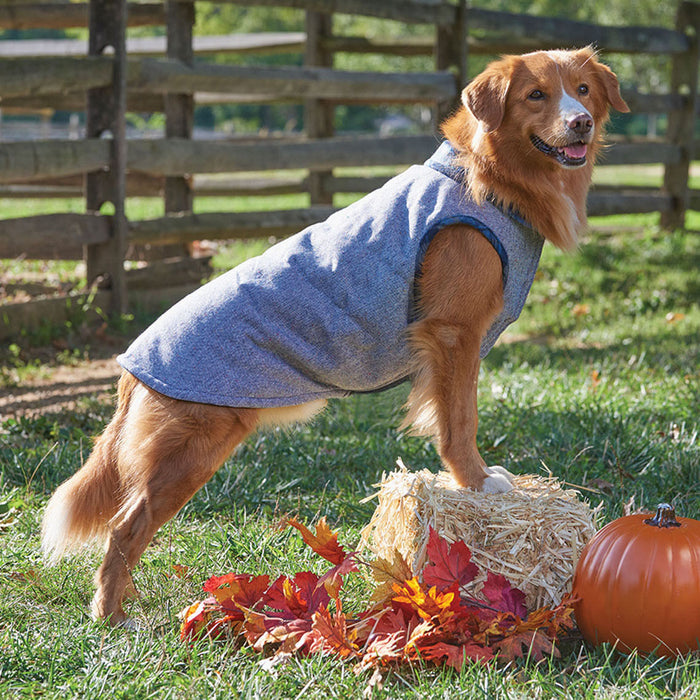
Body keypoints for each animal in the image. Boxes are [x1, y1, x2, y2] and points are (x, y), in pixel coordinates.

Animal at [41, 47, 628, 624]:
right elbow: (460, 422)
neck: (485, 177)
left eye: (582, 91)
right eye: (536, 95)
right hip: (189, 453)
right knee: (125, 528)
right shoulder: (454, 335)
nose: (580, 122)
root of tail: (131, 366)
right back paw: (112, 616)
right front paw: (476, 482)